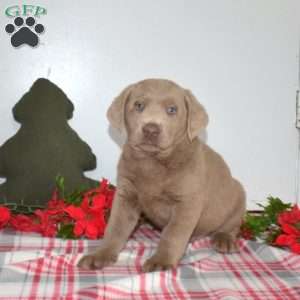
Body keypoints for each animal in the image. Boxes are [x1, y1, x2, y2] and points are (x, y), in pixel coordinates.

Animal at [78, 79, 245, 272]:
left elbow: (172, 233)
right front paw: (100, 255)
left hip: (238, 195)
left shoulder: (187, 202)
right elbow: (115, 228)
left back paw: (224, 239)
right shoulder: (126, 195)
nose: (151, 129)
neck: (152, 163)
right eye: (139, 105)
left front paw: (162, 261)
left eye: (172, 110)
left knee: (232, 225)